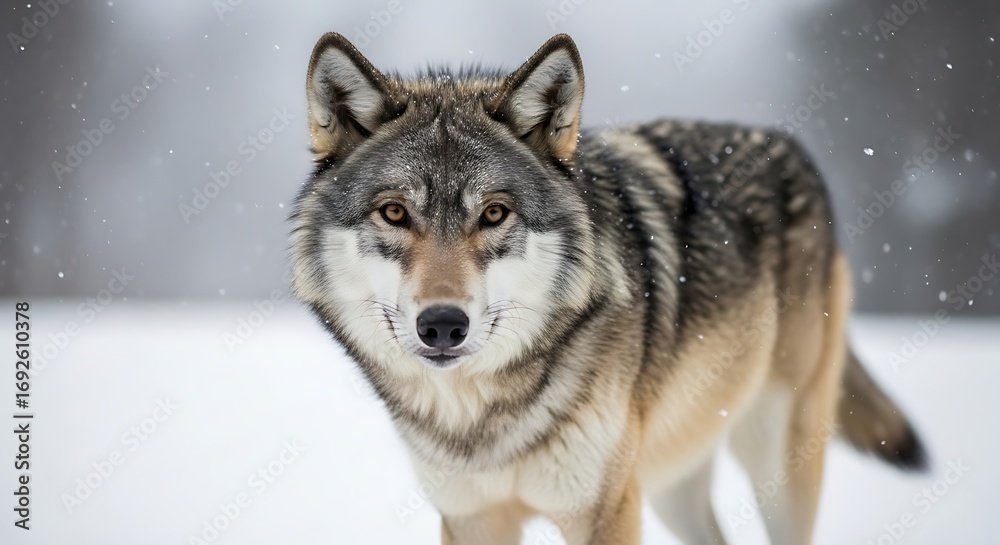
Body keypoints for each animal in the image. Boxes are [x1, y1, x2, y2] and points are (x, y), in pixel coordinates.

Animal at [290, 32, 927, 544]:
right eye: (394, 213)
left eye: (494, 214)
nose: (443, 325)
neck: (485, 418)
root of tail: (785, 142)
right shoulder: (472, 517)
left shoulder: (607, 511)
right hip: (671, 480)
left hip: (775, 457)